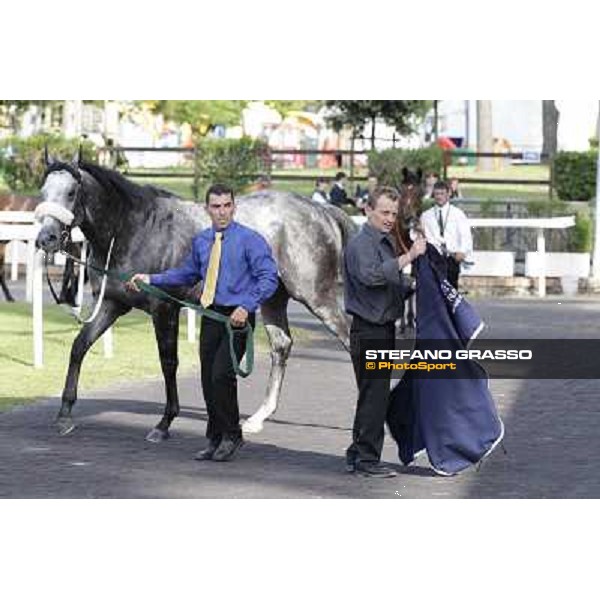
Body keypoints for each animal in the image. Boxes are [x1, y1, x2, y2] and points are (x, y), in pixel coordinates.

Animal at [35, 156, 354, 440]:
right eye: (43, 191)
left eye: (71, 192)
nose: (46, 238)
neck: (134, 228)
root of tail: (322, 211)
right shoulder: (114, 304)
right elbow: (79, 346)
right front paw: (64, 415)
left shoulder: (164, 308)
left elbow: (168, 362)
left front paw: (164, 423)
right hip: (273, 299)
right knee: (281, 345)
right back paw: (257, 418)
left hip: (317, 296)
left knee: (350, 339)